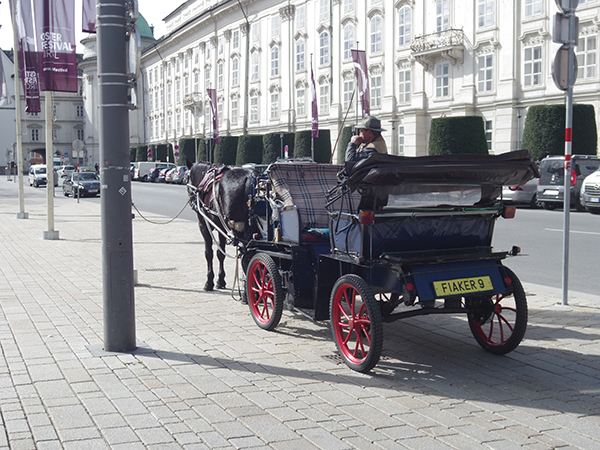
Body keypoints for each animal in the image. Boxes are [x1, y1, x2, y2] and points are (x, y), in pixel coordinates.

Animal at [189, 162, 256, 292]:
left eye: (186, 177)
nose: (191, 199)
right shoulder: (222, 229)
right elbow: (221, 253)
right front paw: (220, 280)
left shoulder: (204, 225)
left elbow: (209, 253)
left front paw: (209, 282)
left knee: (245, 254)